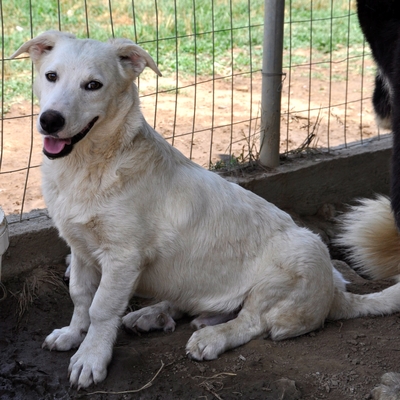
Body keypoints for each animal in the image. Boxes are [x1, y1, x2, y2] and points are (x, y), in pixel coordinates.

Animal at [9, 32, 400, 390]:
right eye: (51, 76)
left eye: (93, 85)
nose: (50, 121)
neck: (88, 166)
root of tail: (337, 294)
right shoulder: (80, 248)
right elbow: (80, 296)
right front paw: (73, 334)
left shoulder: (122, 257)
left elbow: (102, 307)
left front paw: (91, 358)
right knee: (193, 306)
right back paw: (153, 315)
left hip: (295, 259)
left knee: (253, 322)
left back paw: (211, 336)